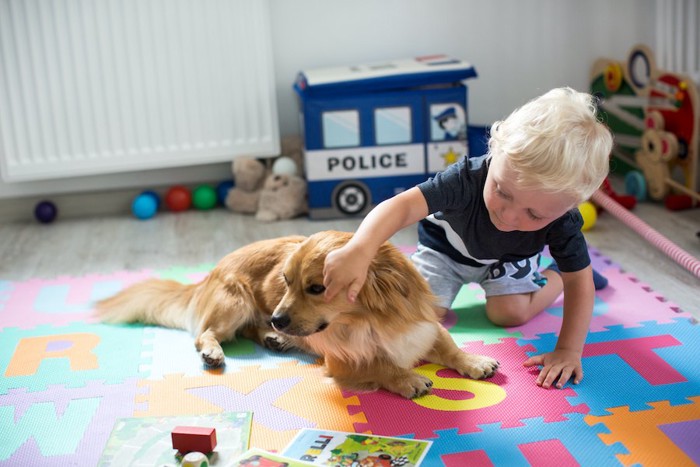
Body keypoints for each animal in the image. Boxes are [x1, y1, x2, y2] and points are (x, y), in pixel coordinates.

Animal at [94, 230, 498, 398]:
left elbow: (450, 347)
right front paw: (407, 378)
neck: (371, 319)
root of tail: (212, 270)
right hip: (234, 301)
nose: (278, 319)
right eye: (286, 281)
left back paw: (273, 338)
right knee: (205, 334)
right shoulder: (342, 361)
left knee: (248, 330)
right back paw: (218, 350)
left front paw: (475, 361)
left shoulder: (423, 328)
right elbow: (381, 365)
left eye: (316, 288)